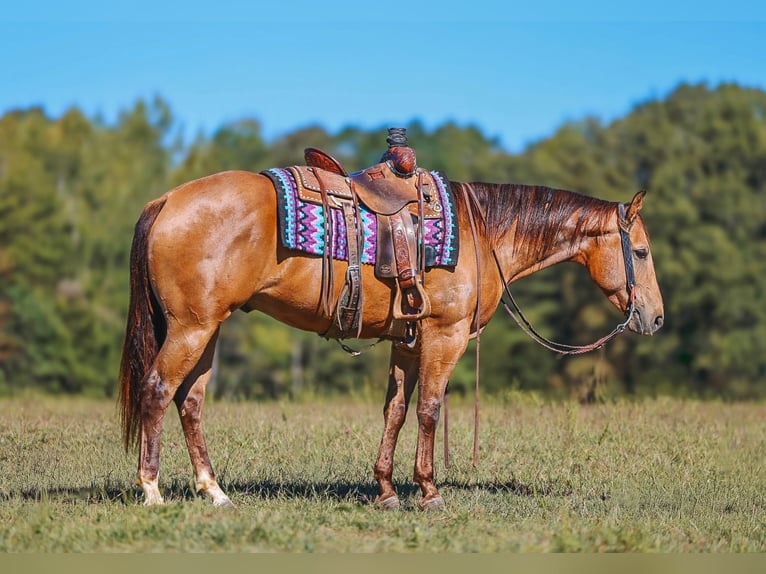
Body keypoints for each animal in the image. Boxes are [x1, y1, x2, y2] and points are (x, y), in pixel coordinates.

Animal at [118, 168, 664, 510]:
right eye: (639, 251)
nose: (656, 318)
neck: (481, 233)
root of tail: (167, 201)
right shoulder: (445, 335)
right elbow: (429, 410)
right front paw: (428, 491)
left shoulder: (407, 341)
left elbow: (396, 410)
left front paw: (385, 489)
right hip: (191, 327)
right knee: (157, 391)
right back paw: (152, 491)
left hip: (207, 329)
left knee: (190, 402)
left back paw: (214, 492)